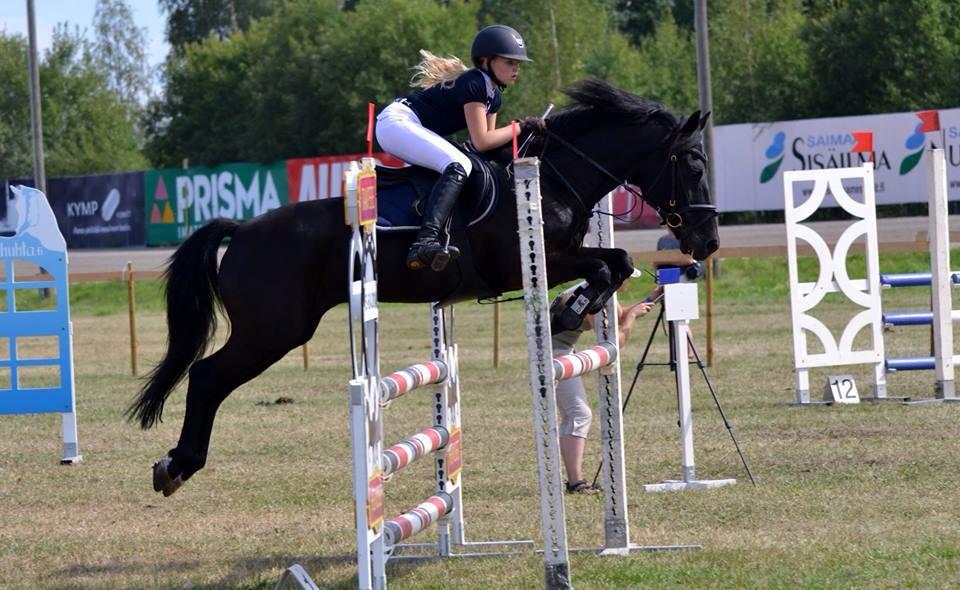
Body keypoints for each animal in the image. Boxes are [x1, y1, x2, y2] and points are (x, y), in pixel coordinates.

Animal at [129, 77, 712, 494]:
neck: (554, 177)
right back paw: (176, 465)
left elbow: (616, 263)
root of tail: (243, 229)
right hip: (273, 330)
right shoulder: (534, 259)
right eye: (691, 163)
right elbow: (609, 264)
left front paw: (575, 312)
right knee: (206, 376)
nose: (706, 242)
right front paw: (571, 312)